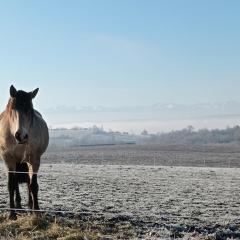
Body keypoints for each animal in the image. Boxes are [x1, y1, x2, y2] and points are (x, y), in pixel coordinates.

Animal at [0, 86, 48, 219]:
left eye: (29, 110)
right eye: (13, 109)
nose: (20, 135)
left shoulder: (34, 160)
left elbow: (33, 185)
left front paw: (36, 211)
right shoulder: (9, 160)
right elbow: (11, 185)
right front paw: (12, 214)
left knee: (28, 181)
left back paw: (30, 205)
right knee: (16, 182)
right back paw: (18, 205)